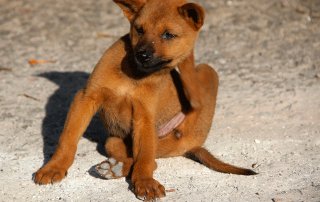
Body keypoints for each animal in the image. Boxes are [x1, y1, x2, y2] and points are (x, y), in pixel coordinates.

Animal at [33, 0, 256, 200]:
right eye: (139, 30)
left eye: (169, 35)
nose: (142, 55)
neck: (133, 75)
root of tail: (192, 144)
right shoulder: (86, 97)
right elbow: (68, 138)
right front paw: (54, 167)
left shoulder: (144, 117)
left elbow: (145, 160)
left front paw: (145, 183)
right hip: (113, 141)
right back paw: (115, 166)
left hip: (206, 72)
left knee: (150, 160)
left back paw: (116, 168)